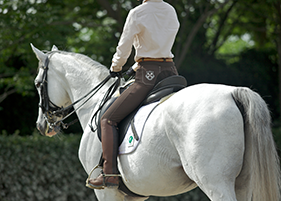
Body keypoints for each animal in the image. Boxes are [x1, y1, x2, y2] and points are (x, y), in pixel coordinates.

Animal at [31, 44, 278, 201]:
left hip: (216, 183)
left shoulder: (106, 192)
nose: (42, 125)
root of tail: (233, 93)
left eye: (37, 83)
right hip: (243, 184)